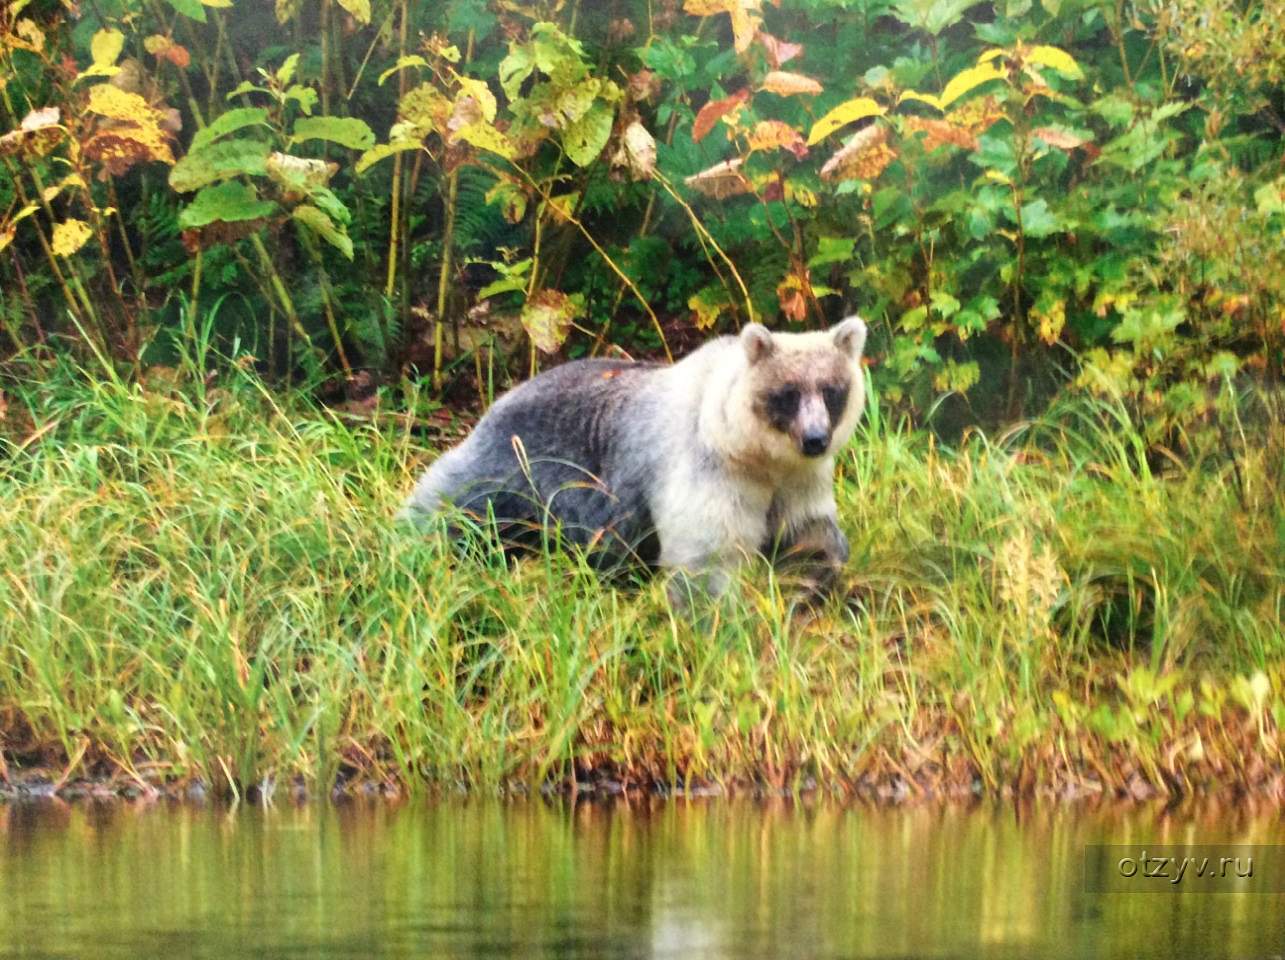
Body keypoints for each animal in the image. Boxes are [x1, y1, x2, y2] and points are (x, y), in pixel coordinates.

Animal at [398, 314, 873, 601]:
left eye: (831, 390)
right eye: (787, 393)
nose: (815, 439)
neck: (751, 452)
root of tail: (501, 395)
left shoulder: (796, 479)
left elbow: (809, 532)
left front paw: (812, 578)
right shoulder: (707, 469)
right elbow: (705, 554)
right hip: (515, 468)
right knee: (452, 504)